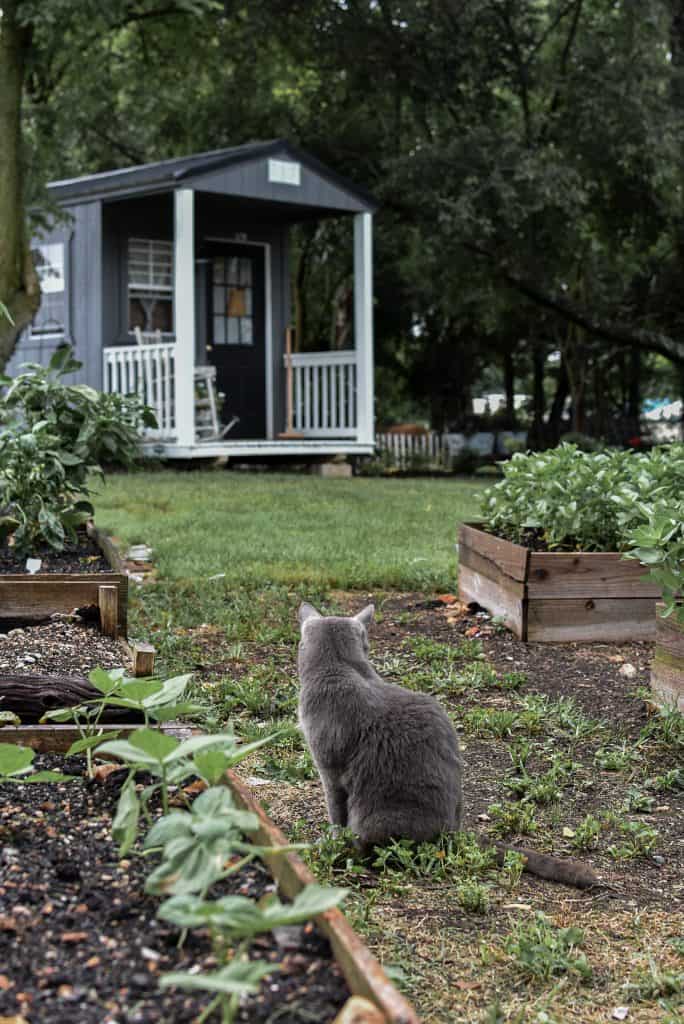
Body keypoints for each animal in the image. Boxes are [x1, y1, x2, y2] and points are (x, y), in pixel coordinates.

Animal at [296, 602, 593, 884]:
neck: (341, 667)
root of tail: (453, 833)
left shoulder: (330, 771)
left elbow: (336, 814)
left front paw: (331, 839)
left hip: (376, 815)